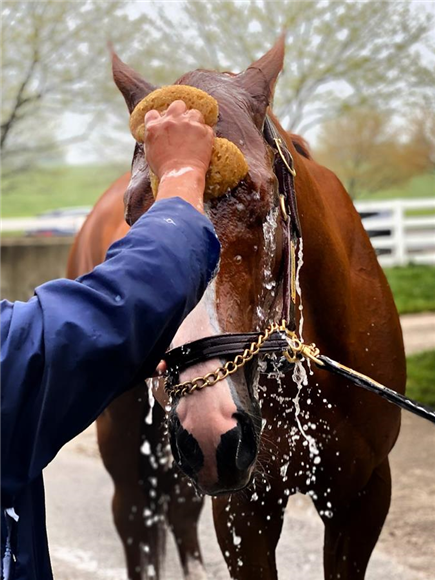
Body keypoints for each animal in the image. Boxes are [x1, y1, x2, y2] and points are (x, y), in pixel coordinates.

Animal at [66, 37, 408, 580]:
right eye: (135, 213)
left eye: (259, 195)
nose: (212, 424)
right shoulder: (246, 508)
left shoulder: (362, 496)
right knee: (138, 526)